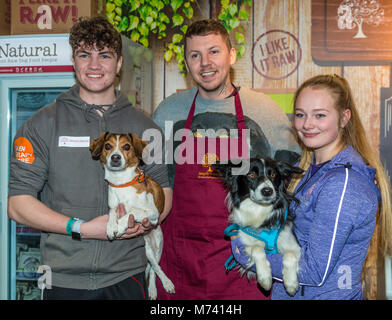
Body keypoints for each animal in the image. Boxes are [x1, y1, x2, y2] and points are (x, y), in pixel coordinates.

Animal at [89, 131, 175, 298]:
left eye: (126, 146)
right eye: (107, 146)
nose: (115, 157)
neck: (121, 183)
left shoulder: (153, 213)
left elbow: (132, 211)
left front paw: (121, 226)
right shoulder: (113, 207)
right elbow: (112, 214)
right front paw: (111, 227)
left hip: (156, 247)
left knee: (156, 269)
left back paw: (164, 285)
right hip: (147, 250)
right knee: (152, 267)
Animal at [214, 158, 304, 296]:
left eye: (273, 175)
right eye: (251, 175)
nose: (267, 191)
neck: (259, 210)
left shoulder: (294, 245)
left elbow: (290, 255)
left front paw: (291, 283)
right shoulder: (243, 244)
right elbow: (257, 248)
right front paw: (265, 277)